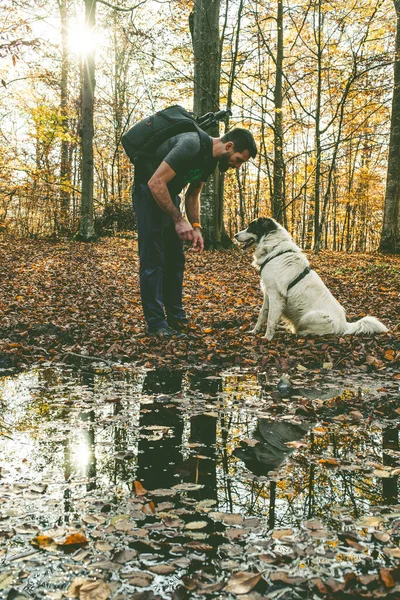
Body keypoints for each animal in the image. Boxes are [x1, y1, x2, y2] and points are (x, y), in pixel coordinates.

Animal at [234, 219, 388, 342]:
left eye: (250, 228)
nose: (235, 235)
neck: (274, 249)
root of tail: (344, 325)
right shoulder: (268, 292)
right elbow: (263, 314)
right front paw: (254, 331)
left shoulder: (276, 295)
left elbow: (271, 318)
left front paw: (267, 338)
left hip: (309, 317)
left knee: (306, 330)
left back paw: (298, 332)